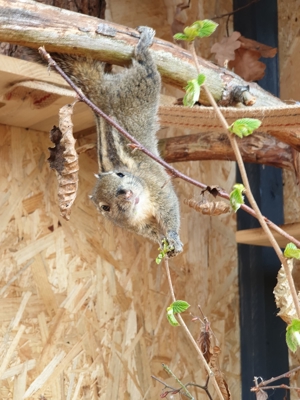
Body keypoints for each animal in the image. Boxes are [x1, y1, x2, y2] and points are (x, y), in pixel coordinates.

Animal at [52, 26, 183, 256]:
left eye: (120, 174)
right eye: (105, 207)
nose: (124, 192)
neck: (142, 205)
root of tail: (101, 93)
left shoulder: (157, 188)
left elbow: (170, 208)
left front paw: (173, 237)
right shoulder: (138, 226)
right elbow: (152, 233)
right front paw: (163, 242)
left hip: (140, 88)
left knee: (146, 67)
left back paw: (143, 44)